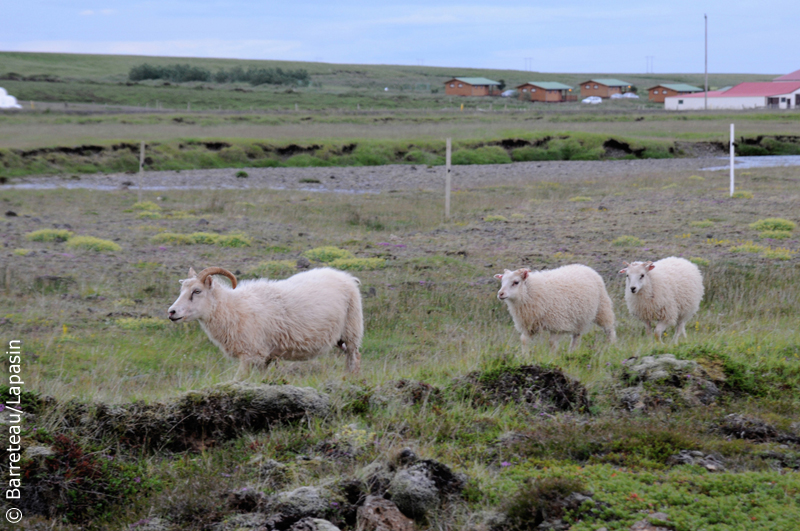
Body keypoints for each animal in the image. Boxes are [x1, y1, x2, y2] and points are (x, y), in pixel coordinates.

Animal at [172, 268, 366, 380]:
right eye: (182, 290)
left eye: (197, 291)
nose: (171, 312)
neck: (231, 307)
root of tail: (348, 277)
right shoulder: (263, 357)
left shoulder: (250, 354)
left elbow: (238, 380)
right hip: (341, 338)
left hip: (352, 329)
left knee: (355, 357)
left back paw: (352, 380)